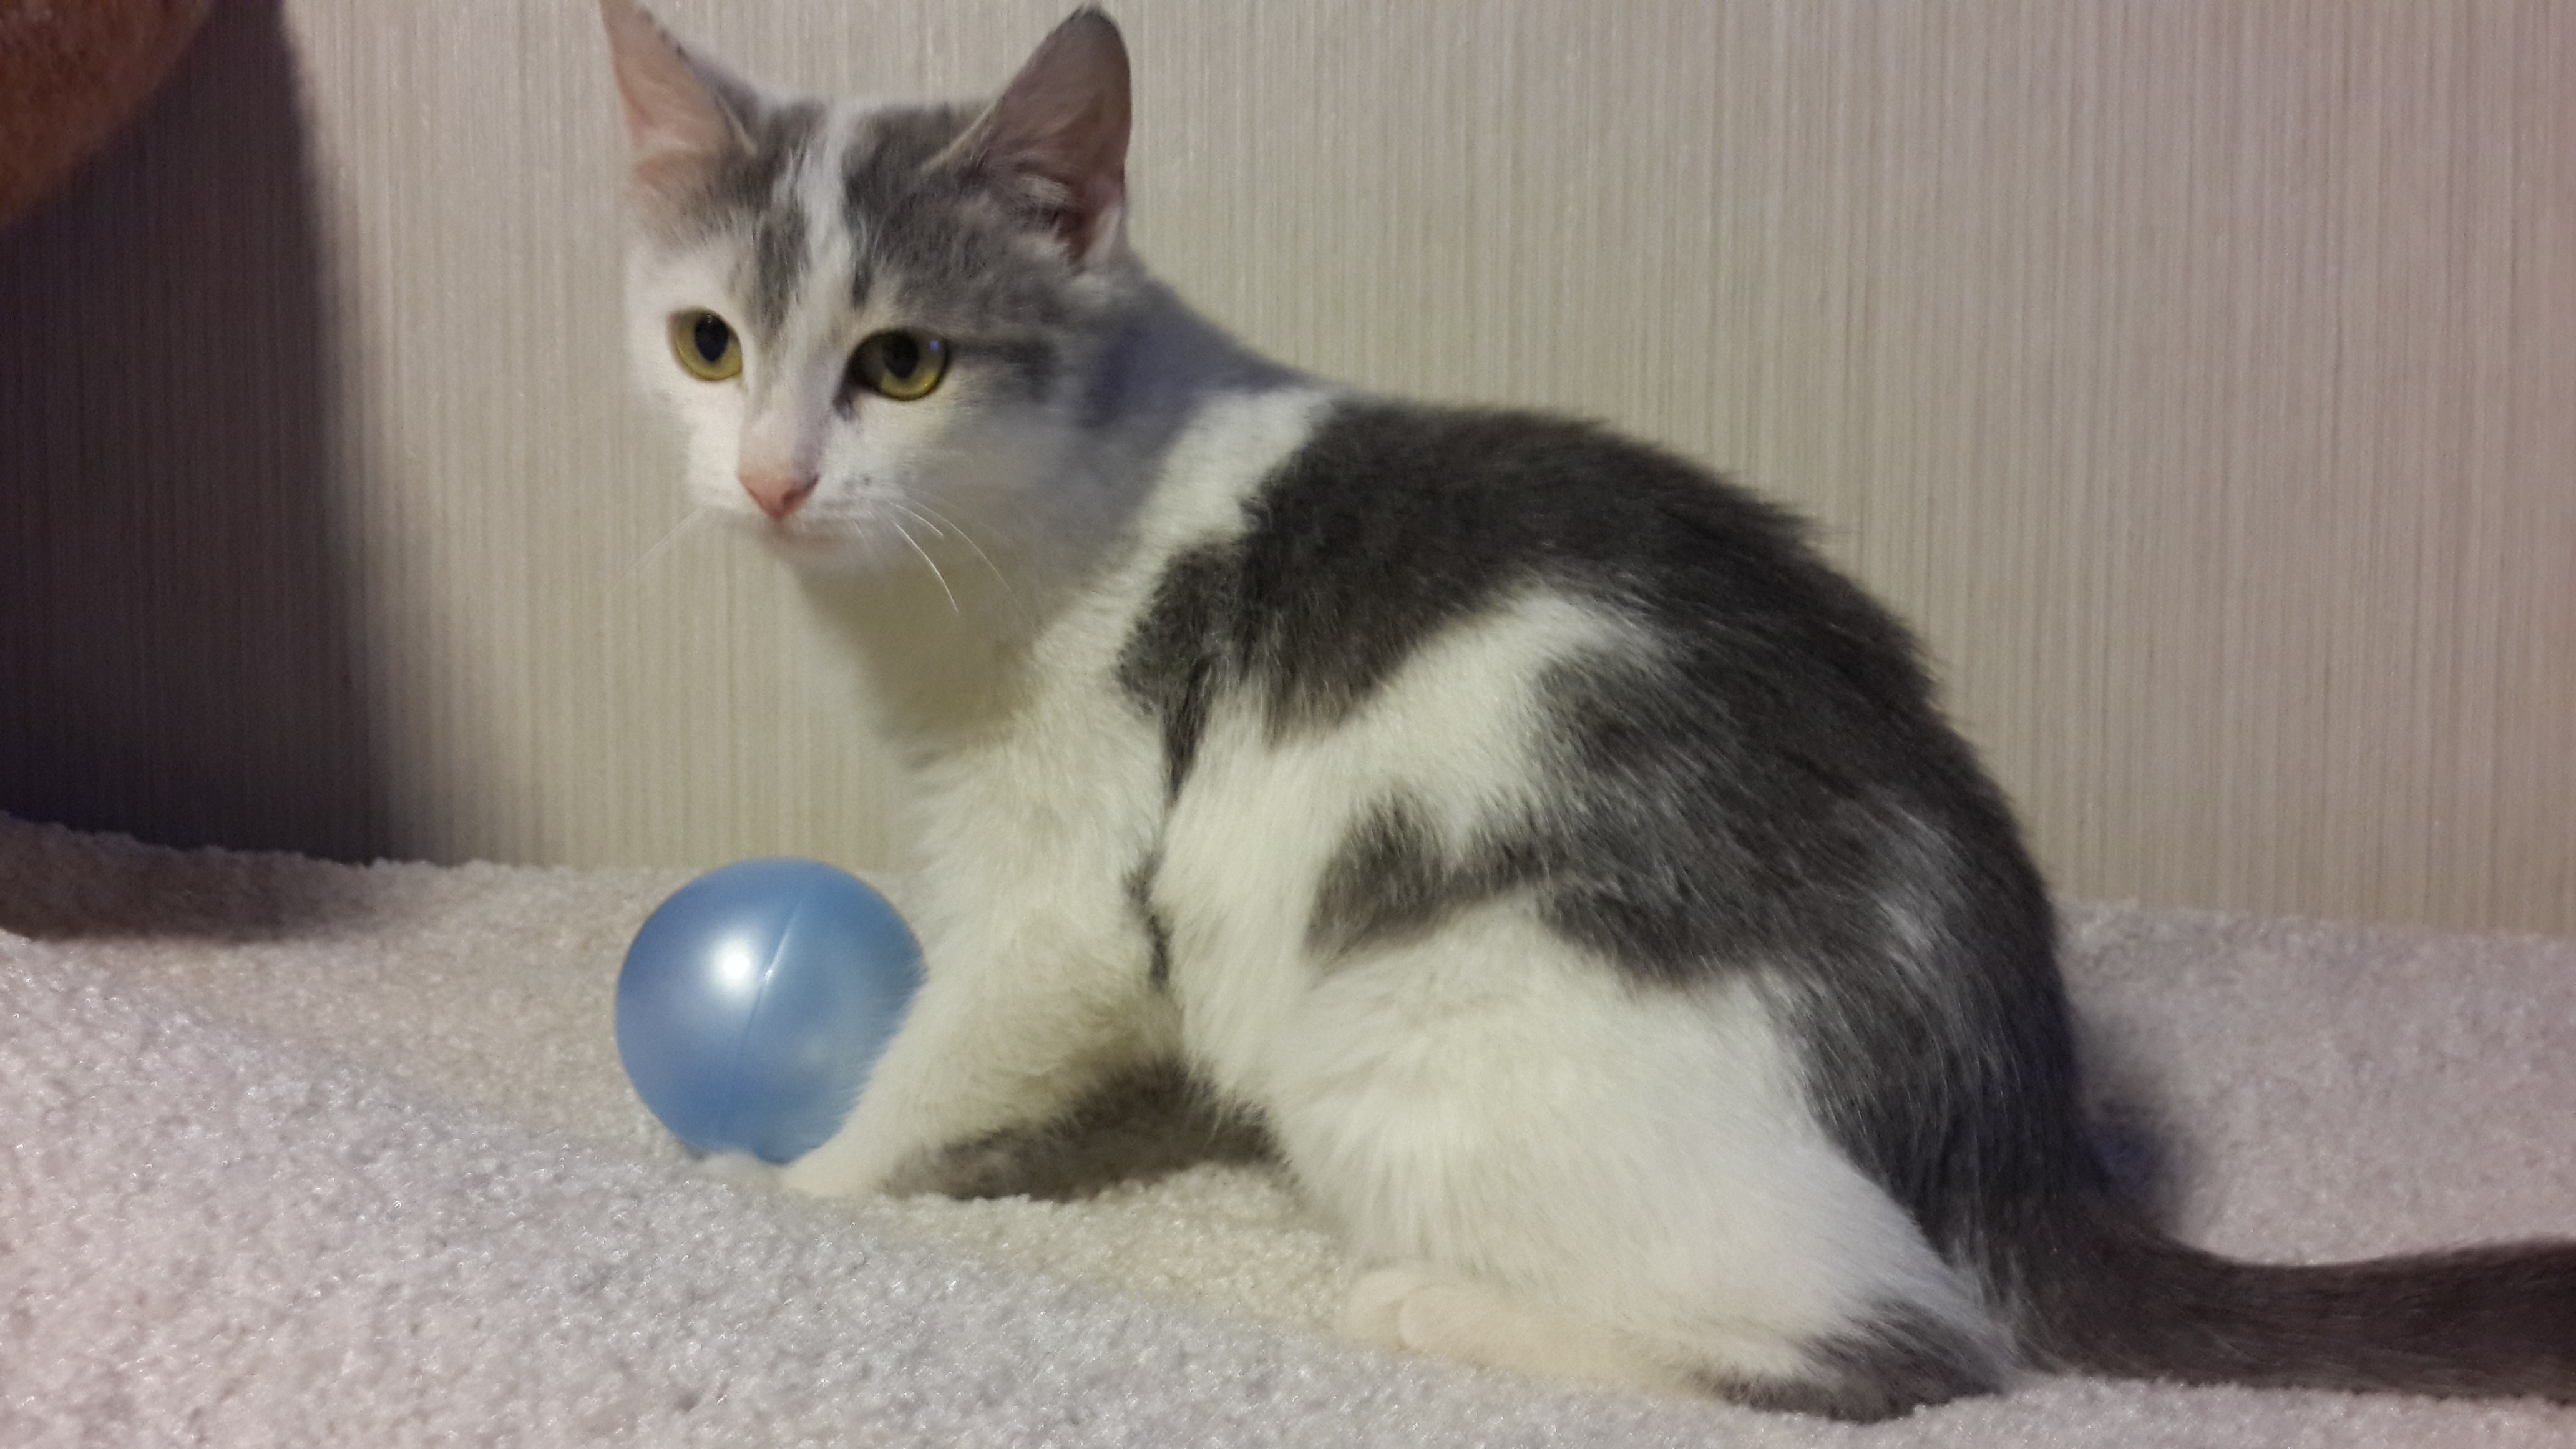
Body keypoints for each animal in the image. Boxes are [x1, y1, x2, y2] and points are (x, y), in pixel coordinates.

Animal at [600, 1, 2576, 1420]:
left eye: (902, 362)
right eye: (708, 344)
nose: (771, 479)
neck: (1059, 511)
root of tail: (2013, 1106)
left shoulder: (1064, 897)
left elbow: (943, 1055)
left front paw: (781, 1180)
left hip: (1415, 1028)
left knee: (1895, 1343)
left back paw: (1430, 1301)